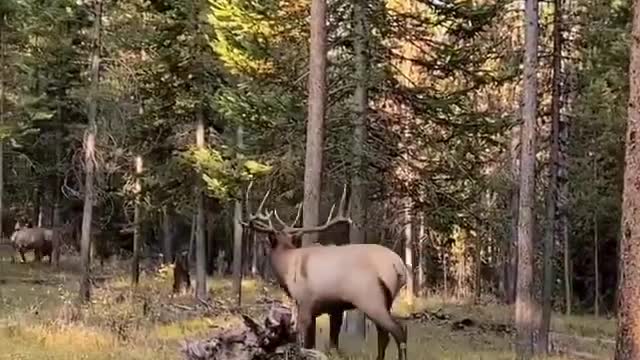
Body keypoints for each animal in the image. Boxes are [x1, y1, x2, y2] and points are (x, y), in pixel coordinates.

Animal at [240, 184, 410, 360]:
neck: (287, 267)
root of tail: (399, 266)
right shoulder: (335, 308)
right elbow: (330, 341)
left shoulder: (305, 302)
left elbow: (304, 340)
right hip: (386, 301)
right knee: (384, 334)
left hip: (370, 299)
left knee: (399, 331)